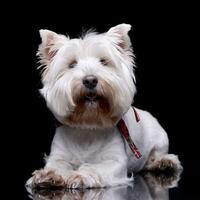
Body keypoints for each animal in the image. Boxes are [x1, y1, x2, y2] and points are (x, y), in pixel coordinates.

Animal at [25, 23, 183, 189]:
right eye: (72, 64)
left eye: (104, 62)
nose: (90, 80)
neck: (87, 126)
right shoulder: (59, 156)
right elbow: (57, 165)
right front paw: (48, 175)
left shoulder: (115, 162)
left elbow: (95, 167)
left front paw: (81, 175)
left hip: (160, 140)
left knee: (159, 155)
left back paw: (163, 162)